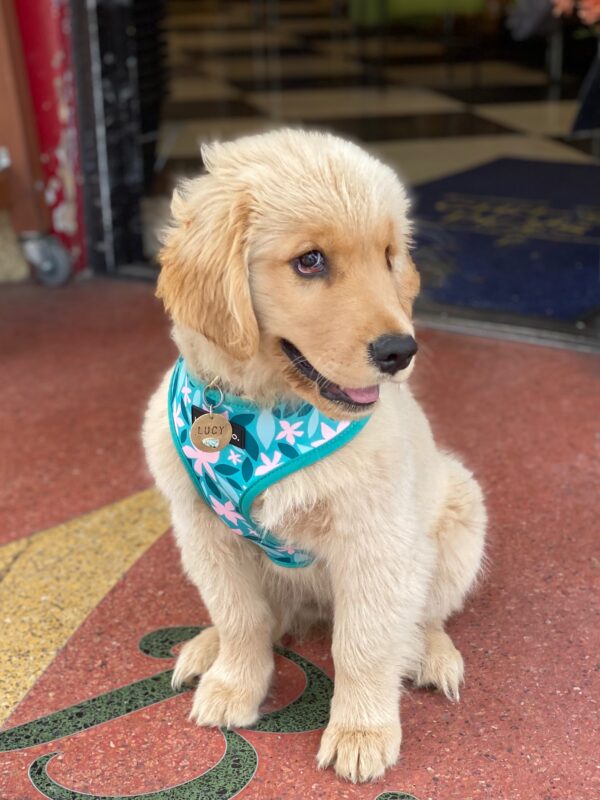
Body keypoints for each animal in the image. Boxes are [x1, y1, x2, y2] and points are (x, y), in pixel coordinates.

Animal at [143, 130, 486, 780]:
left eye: (388, 256)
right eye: (310, 261)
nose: (401, 351)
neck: (263, 411)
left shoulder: (376, 540)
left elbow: (364, 643)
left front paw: (361, 732)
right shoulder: (203, 529)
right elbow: (240, 615)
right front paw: (234, 684)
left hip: (460, 513)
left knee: (424, 611)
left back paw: (430, 653)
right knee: (267, 615)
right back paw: (206, 648)